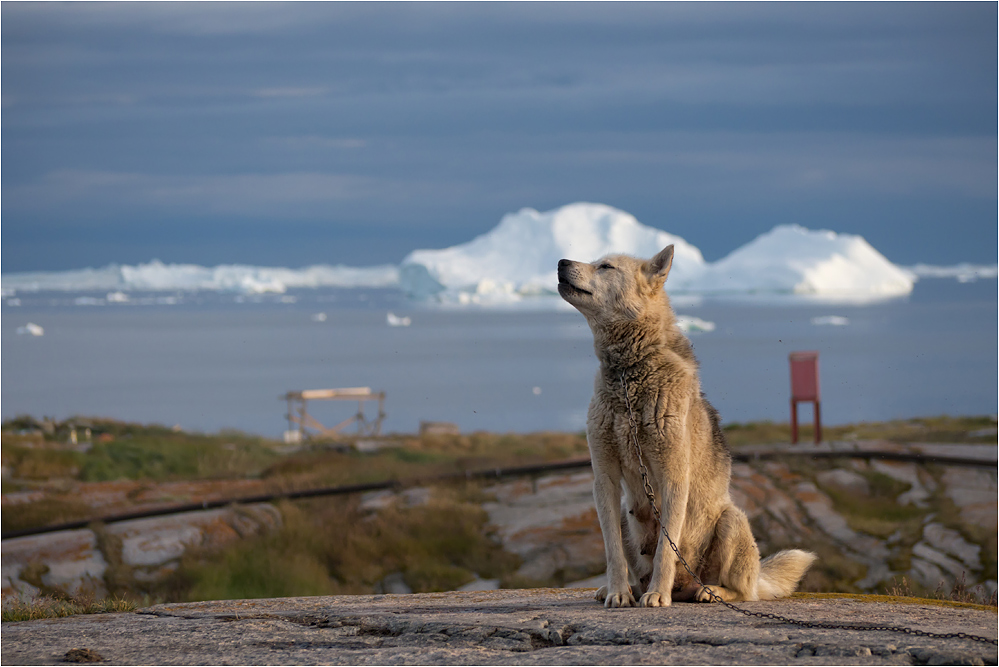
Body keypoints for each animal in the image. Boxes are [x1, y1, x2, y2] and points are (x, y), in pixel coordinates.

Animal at [560, 247, 816, 612]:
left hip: (731, 521)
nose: (561, 262)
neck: (628, 375)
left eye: (605, 266)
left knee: (741, 590)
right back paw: (630, 588)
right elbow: (612, 552)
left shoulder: (673, 478)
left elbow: (665, 552)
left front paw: (657, 594)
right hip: (625, 512)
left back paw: (709, 591)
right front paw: (617, 592)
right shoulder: (604, 477)